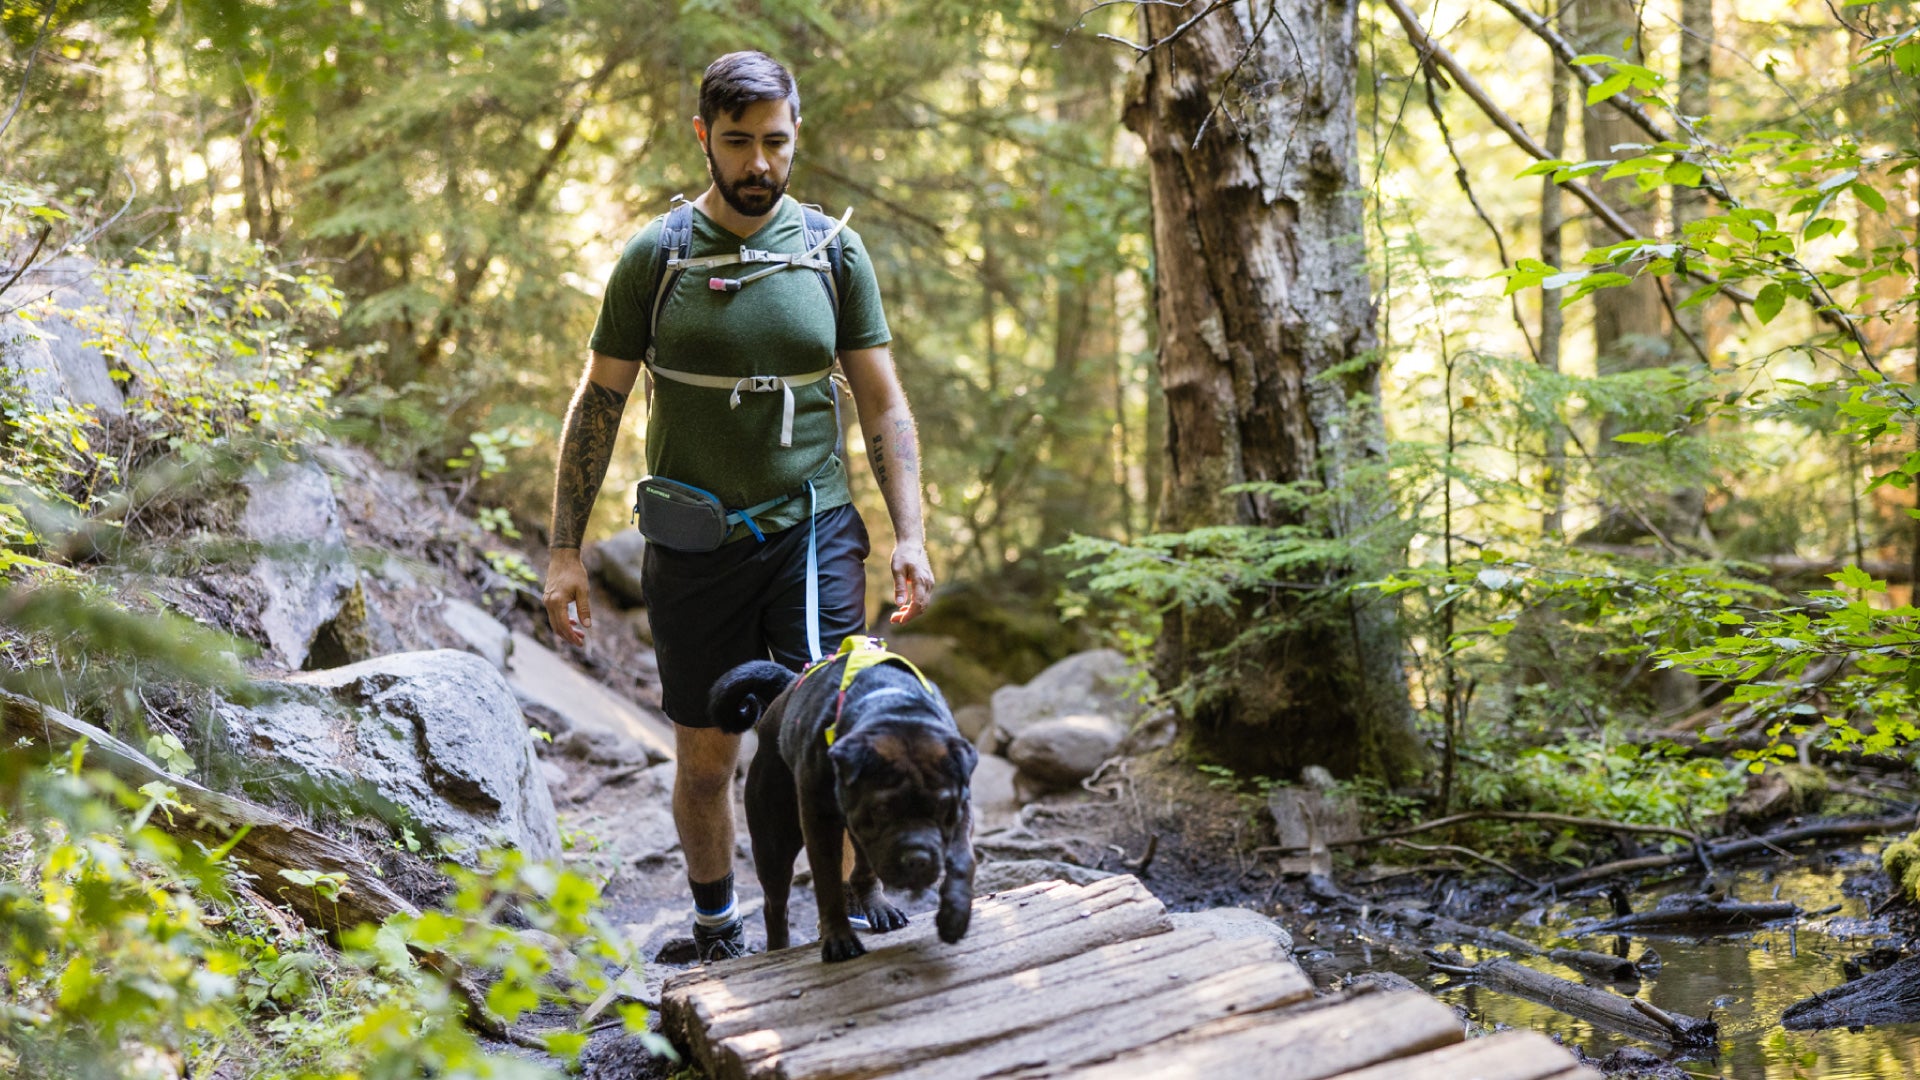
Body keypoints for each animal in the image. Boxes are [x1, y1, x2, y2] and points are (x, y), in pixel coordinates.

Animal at [710, 641, 983, 960]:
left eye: (942, 808)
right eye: (882, 809)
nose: (917, 858)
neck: (892, 708)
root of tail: (790, 684)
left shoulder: (962, 805)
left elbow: (964, 859)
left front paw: (955, 914)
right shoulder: (819, 820)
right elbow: (828, 882)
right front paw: (839, 939)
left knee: (862, 869)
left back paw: (879, 907)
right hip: (774, 842)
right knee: (775, 904)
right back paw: (778, 948)